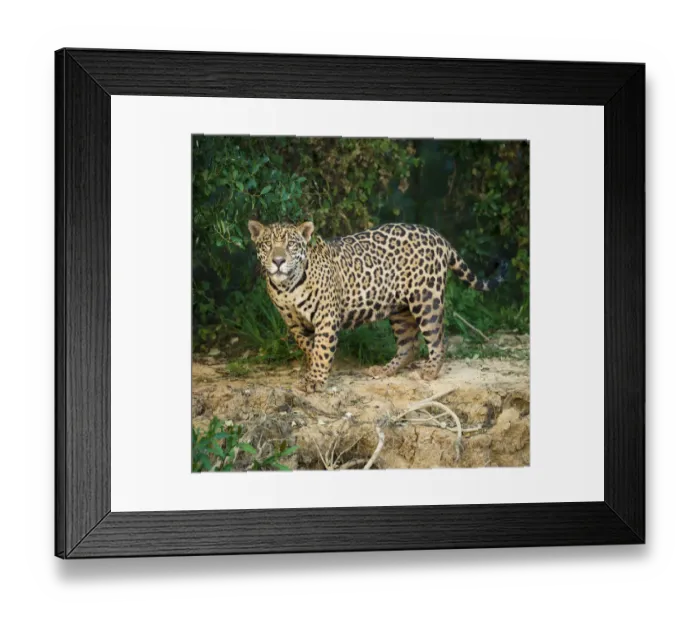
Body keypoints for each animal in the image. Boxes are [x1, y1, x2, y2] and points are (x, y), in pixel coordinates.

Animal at [247, 219, 508, 393]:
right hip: (400, 310)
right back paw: (384, 371)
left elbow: (322, 348)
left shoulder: (327, 317)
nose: (278, 261)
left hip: (426, 299)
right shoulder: (293, 323)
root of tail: (437, 235)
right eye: (267, 245)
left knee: (437, 340)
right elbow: (309, 346)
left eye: (291, 245)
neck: (287, 286)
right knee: (409, 345)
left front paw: (316, 380)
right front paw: (314, 368)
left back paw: (430, 371)